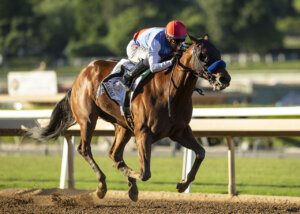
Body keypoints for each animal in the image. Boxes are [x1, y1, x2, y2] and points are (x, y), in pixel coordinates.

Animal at [27, 34, 231, 201]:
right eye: (203, 55)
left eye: (219, 52)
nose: (224, 79)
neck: (171, 92)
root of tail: (81, 74)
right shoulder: (143, 133)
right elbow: (144, 172)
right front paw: (132, 177)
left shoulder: (179, 131)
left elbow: (201, 152)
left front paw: (182, 184)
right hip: (88, 119)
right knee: (85, 149)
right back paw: (102, 186)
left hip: (123, 126)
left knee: (114, 153)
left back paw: (128, 186)